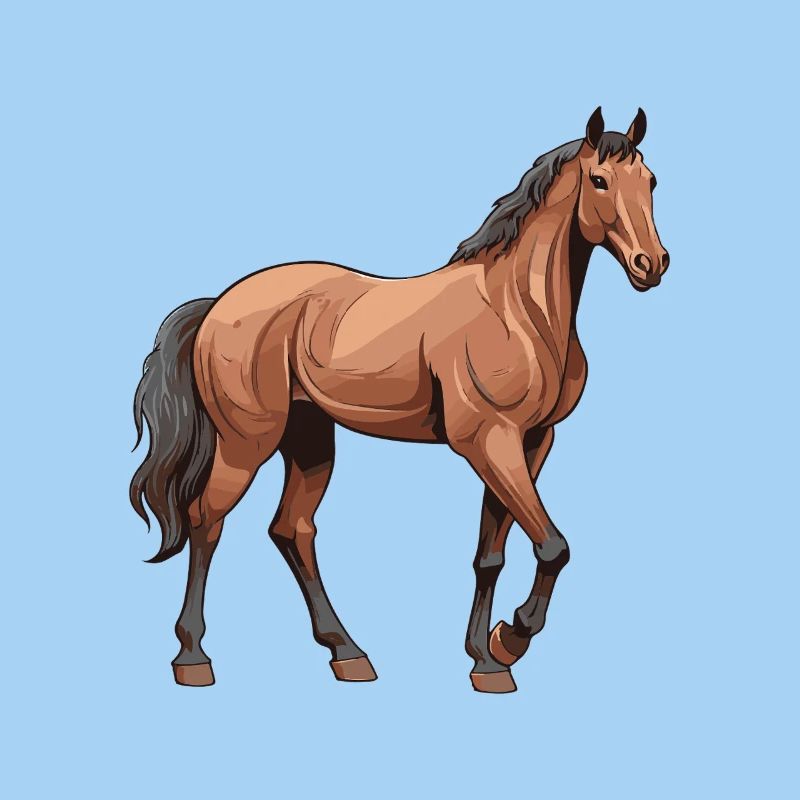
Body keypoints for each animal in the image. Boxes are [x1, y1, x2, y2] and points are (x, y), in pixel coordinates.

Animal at [130, 107, 669, 693]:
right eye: (599, 180)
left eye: (650, 181)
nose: (652, 264)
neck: (517, 311)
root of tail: (218, 306)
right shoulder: (489, 442)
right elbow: (553, 546)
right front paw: (511, 637)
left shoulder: (530, 443)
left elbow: (491, 554)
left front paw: (486, 660)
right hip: (246, 443)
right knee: (206, 521)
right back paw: (193, 658)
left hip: (310, 440)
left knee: (291, 530)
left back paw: (348, 653)